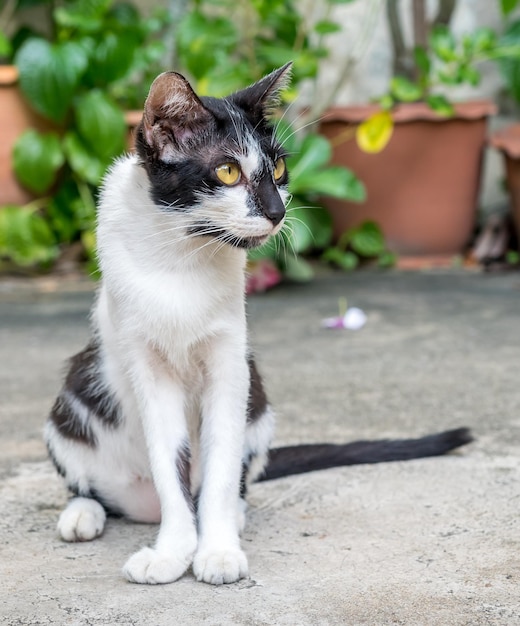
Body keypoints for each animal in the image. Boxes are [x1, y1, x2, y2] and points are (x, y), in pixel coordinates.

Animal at [44, 61, 474, 584]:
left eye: (280, 169)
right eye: (227, 171)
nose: (277, 211)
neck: (182, 253)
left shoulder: (231, 361)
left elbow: (222, 462)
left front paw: (217, 550)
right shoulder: (146, 363)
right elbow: (170, 462)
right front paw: (172, 552)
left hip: (260, 405)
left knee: (234, 477)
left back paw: (232, 515)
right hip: (70, 403)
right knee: (89, 484)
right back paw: (82, 513)